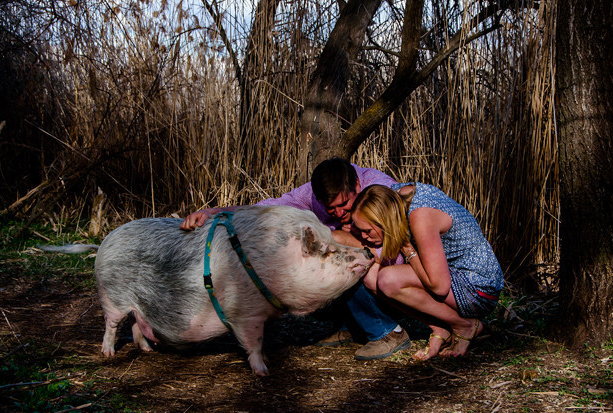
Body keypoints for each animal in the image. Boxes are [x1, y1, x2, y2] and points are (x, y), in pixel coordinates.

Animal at [92, 204, 370, 374]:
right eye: (327, 250)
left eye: (333, 240)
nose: (367, 251)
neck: (274, 264)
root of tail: (107, 239)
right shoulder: (245, 314)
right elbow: (254, 343)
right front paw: (263, 372)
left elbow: (263, 341)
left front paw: (269, 360)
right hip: (111, 297)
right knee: (112, 325)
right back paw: (108, 354)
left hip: (138, 305)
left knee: (136, 324)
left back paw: (148, 350)